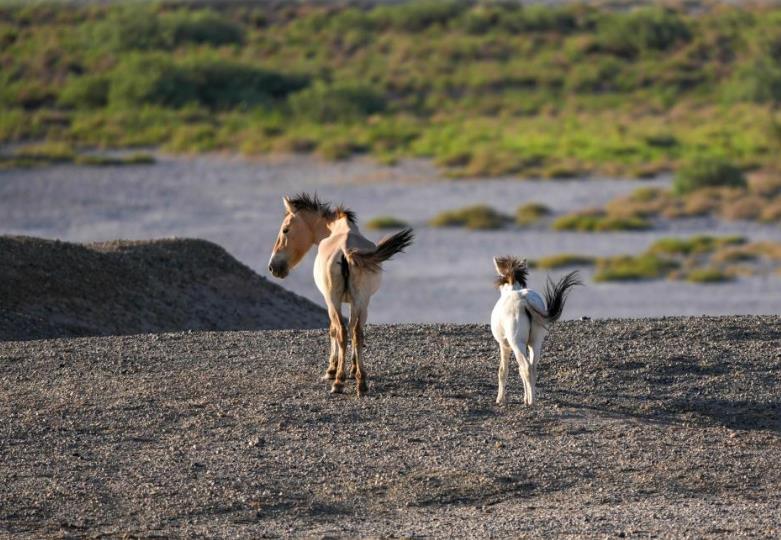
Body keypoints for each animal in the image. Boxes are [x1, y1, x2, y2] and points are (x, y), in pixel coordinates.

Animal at [268, 193, 413, 396]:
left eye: (285, 229)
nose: (273, 267)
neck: (337, 229)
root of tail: (346, 252)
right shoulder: (356, 303)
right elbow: (353, 328)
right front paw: (354, 369)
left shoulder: (329, 301)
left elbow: (334, 330)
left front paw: (332, 369)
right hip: (362, 301)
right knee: (357, 333)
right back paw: (361, 383)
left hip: (334, 300)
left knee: (342, 332)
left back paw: (338, 381)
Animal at [491, 256, 581, 406]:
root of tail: (524, 301)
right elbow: (519, 371)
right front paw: (524, 397)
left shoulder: (504, 345)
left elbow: (503, 371)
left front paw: (499, 399)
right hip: (535, 341)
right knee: (532, 367)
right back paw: (531, 398)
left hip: (517, 343)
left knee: (527, 368)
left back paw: (531, 402)